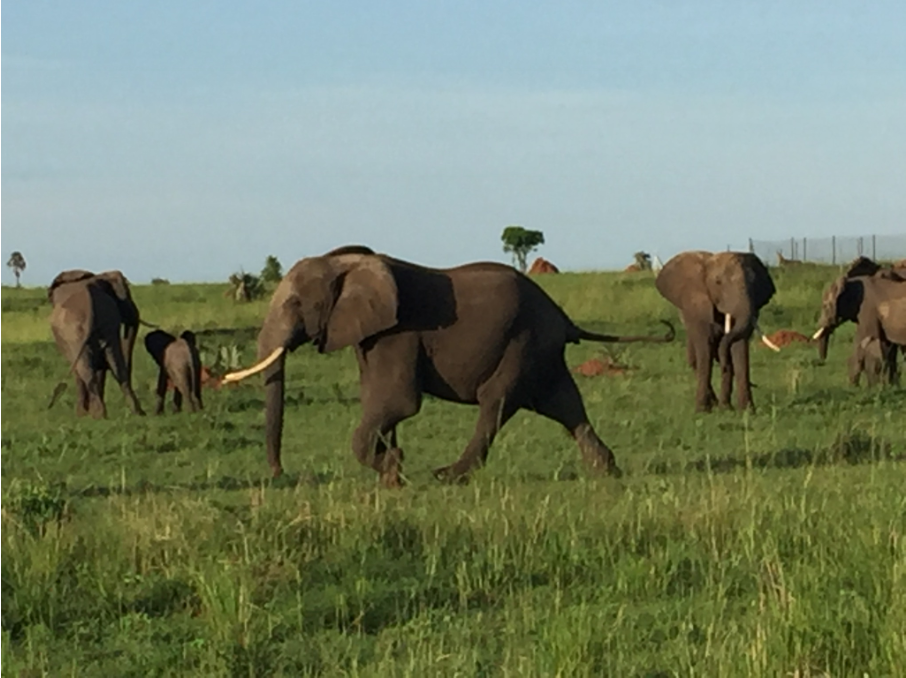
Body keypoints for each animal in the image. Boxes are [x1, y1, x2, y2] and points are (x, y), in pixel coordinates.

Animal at [48, 270, 146, 417]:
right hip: (103, 325)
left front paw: (82, 414)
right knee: (116, 366)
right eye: (126, 295)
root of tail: (90, 304)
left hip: (77, 333)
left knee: (89, 369)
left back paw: (98, 414)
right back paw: (135, 412)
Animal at [222, 245, 675, 486]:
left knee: (496, 401)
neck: (344, 264)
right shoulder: (371, 335)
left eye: (296, 304)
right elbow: (379, 401)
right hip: (541, 351)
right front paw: (392, 472)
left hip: (523, 341)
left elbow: (398, 401)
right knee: (565, 405)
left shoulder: (399, 331)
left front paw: (393, 468)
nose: (280, 473)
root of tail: (563, 317)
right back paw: (606, 471)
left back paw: (448, 475)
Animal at [654, 251, 781, 413]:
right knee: (694, 359)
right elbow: (706, 347)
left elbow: (739, 346)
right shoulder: (698, 307)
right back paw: (714, 404)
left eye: (754, 282)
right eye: (718, 282)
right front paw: (702, 410)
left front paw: (747, 411)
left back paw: (725, 406)